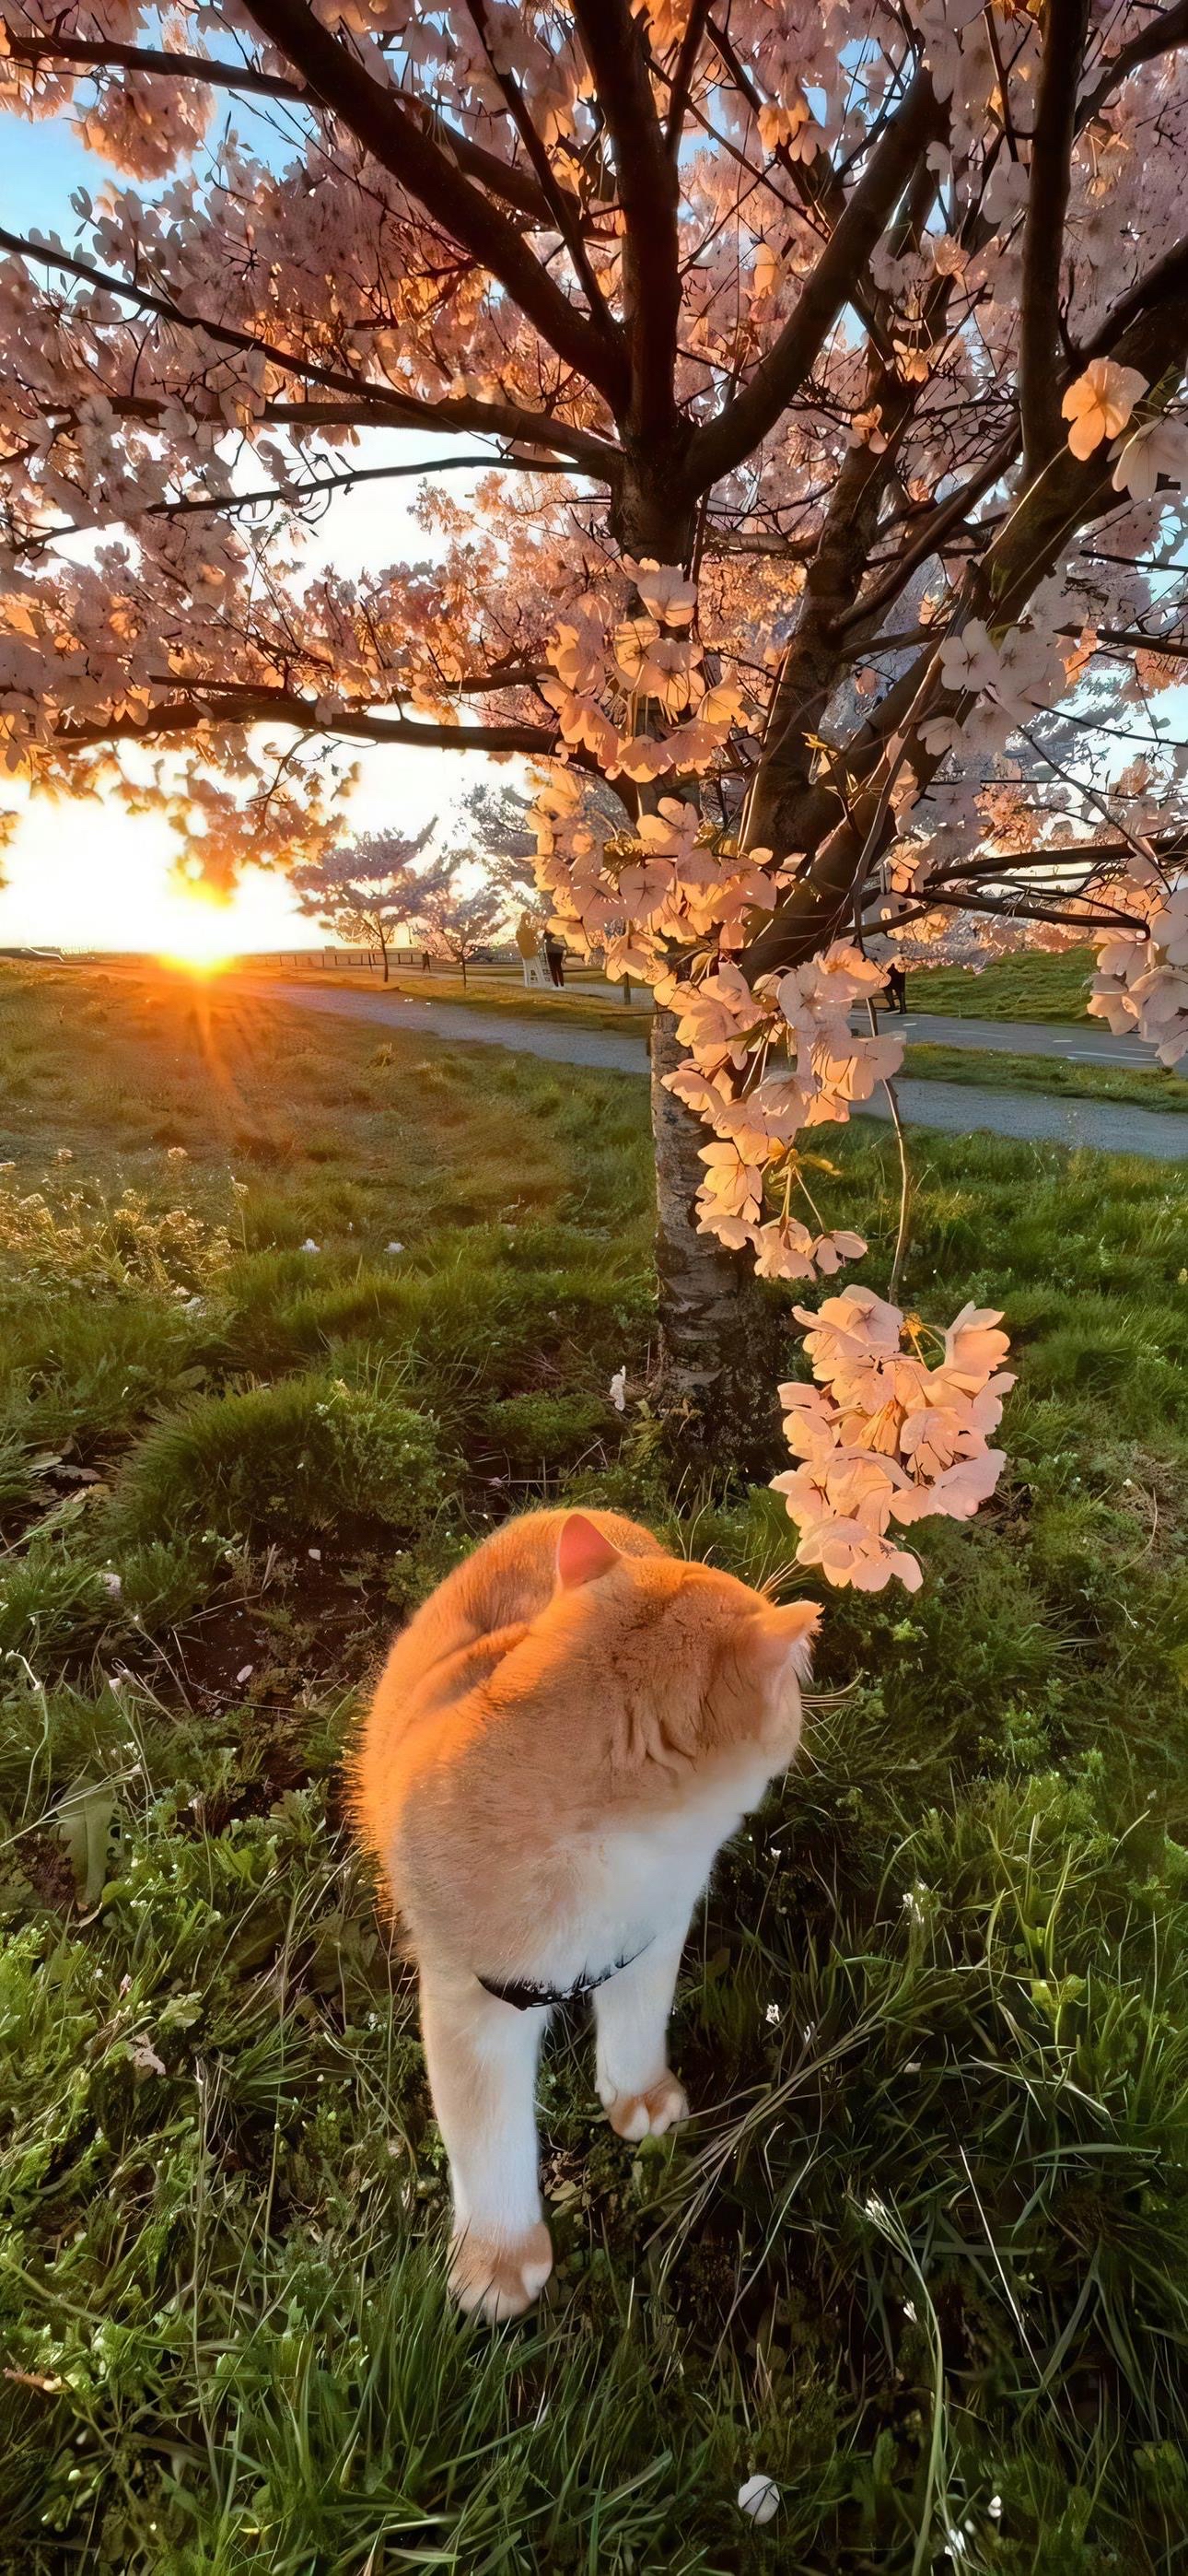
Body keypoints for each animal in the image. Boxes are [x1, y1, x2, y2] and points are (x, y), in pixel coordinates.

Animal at [353, 1504, 814, 2328]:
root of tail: (575, 1510)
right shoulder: (474, 2014)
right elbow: (488, 2142)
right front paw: (501, 2263)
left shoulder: (654, 1935)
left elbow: (636, 2030)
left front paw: (641, 2099)